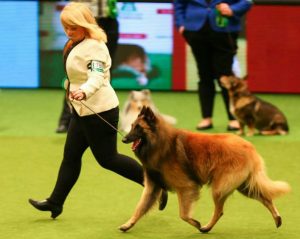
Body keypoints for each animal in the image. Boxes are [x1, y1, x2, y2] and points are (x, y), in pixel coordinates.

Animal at [119, 106, 290, 233]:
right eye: (132, 126)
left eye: (138, 128)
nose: (124, 139)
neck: (160, 143)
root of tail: (250, 147)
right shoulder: (152, 187)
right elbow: (139, 208)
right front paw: (128, 224)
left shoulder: (186, 187)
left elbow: (183, 214)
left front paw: (196, 223)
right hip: (244, 186)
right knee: (266, 198)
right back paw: (278, 219)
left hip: (220, 188)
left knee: (220, 211)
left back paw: (206, 228)